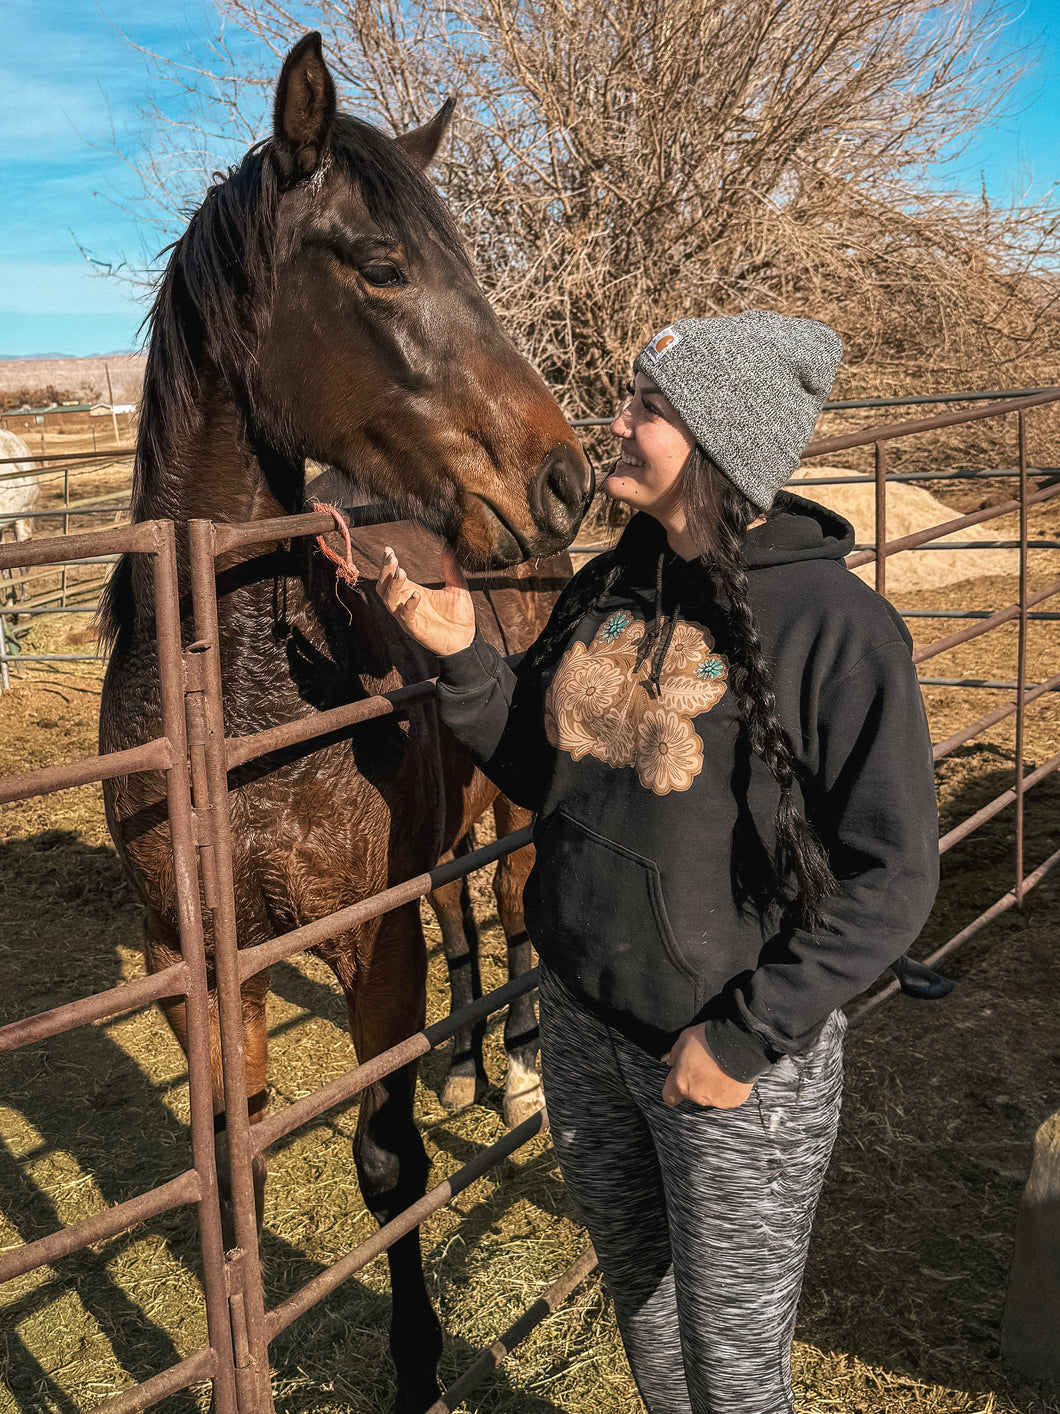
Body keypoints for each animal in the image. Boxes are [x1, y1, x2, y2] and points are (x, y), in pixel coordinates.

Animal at [98, 33, 590, 1414]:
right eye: (382, 266)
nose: (564, 479)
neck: (234, 712)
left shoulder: (368, 944)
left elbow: (386, 1160)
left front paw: (416, 1364)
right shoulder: (191, 960)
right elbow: (237, 1165)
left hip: (518, 806)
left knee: (514, 907)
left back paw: (516, 1072)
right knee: (465, 911)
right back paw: (476, 1058)